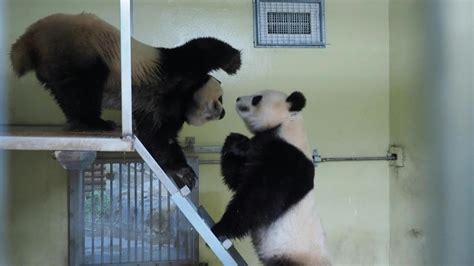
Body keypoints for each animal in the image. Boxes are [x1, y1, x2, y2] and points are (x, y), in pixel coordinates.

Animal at [11, 13, 243, 189]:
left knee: (68, 93)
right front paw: (234, 63)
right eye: (220, 99)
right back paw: (95, 123)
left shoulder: (161, 109)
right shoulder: (176, 70)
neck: (186, 96)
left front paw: (182, 170)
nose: (223, 113)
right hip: (78, 48)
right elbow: (199, 49)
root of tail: (29, 39)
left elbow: (157, 137)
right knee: (83, 87)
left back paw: (83, 121)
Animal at [211, 90, 330, 266]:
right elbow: (239, 179)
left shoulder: (287, 161)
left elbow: (259, 199)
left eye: (257, 98)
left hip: (294, 256)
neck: (287, 124)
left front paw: (221, 228)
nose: (238, 99)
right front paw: (235, 142)